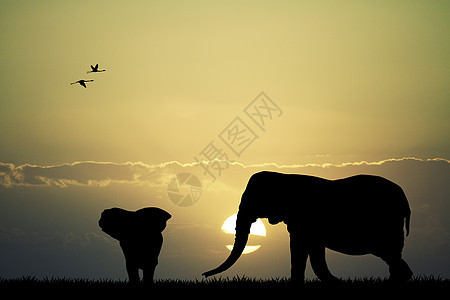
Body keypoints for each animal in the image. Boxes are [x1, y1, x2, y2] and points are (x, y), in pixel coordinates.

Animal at [202, 172, 414, 282]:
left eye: (256, 198)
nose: (204, 275)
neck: (285, 177)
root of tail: (405, 199)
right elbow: (309, 251)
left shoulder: (305, 219)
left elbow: (303, 248)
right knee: (391, 254)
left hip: (387, 222)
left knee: (390, 252)